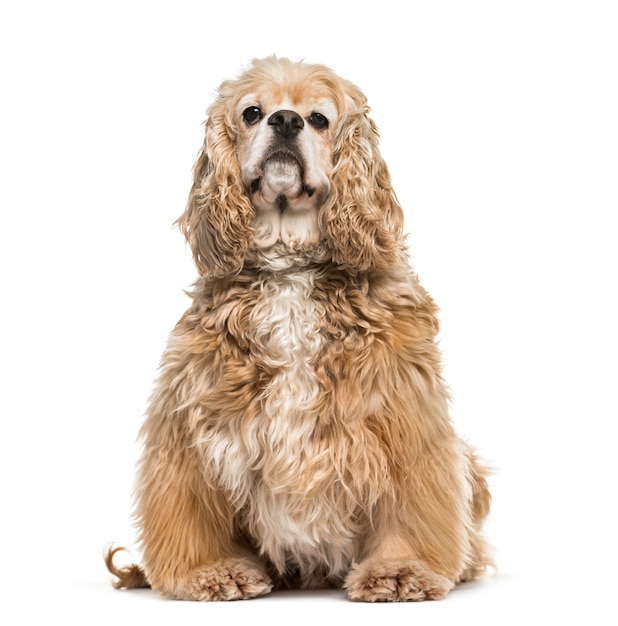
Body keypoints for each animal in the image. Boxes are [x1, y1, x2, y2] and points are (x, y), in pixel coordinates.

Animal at [104, 57, 490, 600]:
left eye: (320, 119)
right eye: (251, 112)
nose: (285, 121)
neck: (290, 267)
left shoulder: (404, 421)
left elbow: (410, 506)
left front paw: (400, 570)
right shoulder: (192, 424)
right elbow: (193, 509)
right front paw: (211, 570)